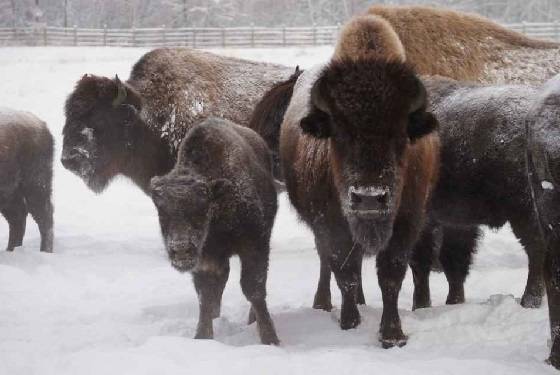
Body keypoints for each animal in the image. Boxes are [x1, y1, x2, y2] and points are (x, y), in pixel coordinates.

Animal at [0, 110, 54, 254]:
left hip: (34, 185)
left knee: (44, 216)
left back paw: (45, 251)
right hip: (11, 193)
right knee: (17, 218)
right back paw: (12, 250)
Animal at [150, 117, 278, 346]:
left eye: (201, 207)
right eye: (161, 211)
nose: (180, 249)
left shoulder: (254, 246)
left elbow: (253, 288)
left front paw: (270, 338)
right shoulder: (206, 259)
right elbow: (206, 296)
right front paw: (202, 336)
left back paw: (252, 320)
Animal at [278, 15, 440, 350]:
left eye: (400, 134)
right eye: (339, 132)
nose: (368, 197)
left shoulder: (406, 223)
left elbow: (391, 275)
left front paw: (392, 335)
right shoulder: (332, 224)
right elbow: (345, 273)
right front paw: (349, 323)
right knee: (326, 263)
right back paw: (323, 303)